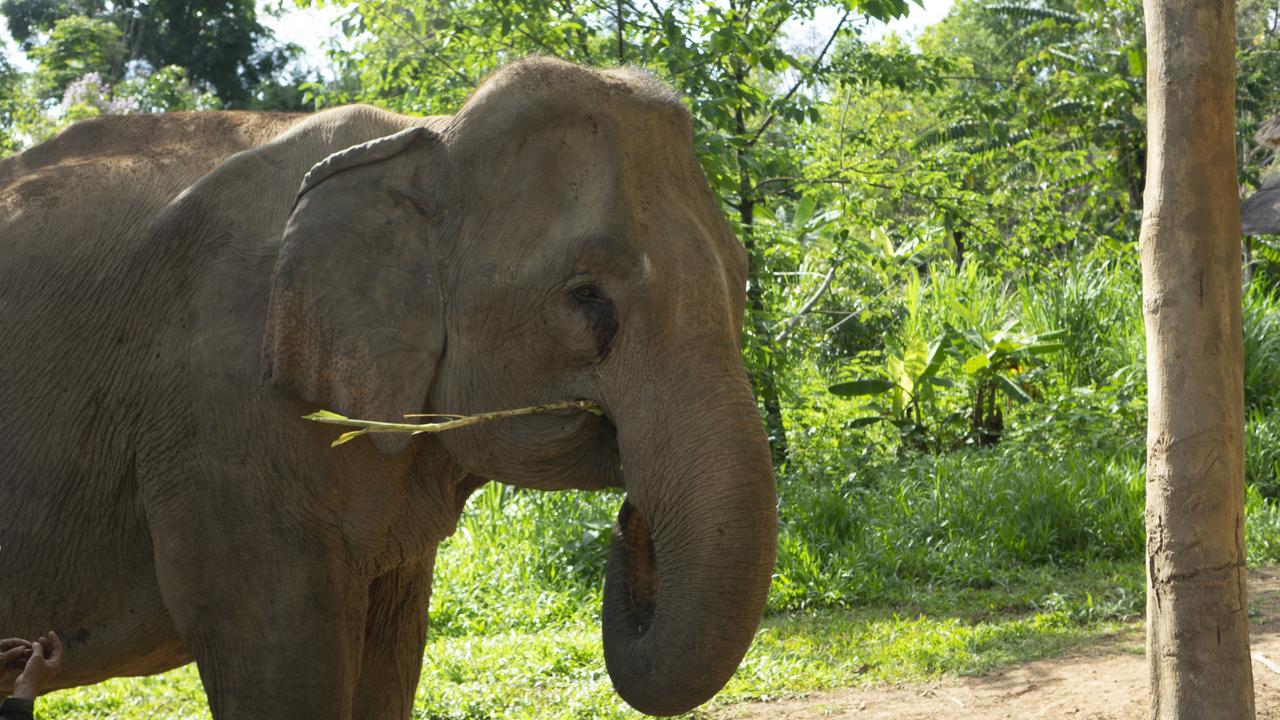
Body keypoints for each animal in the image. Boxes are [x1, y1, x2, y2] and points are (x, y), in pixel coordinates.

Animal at [0, 58, 777, 718]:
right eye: (586, 297)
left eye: (741, 276)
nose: (631, 519)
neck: (422, 138)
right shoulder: (222, 419)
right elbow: (279, 664)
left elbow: (390, 658)